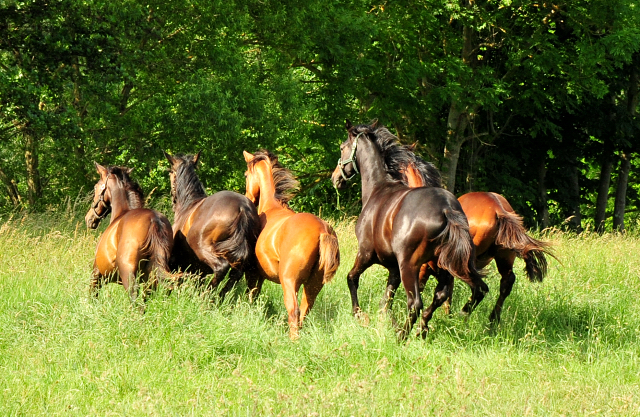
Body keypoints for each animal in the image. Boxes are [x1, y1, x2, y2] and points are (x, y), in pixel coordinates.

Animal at [86, 162, 175, 306]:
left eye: (96, 187)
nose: (89, 219)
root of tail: (153, 219)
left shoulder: (97, 273)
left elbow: (92, 296)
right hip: (152, 278)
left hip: (127, 275)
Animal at [164, 151, 262, 298]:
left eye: (170, 172)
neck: (188, 205)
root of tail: (242, 207)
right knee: (235, 275)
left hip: (204, 249)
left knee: (221, 268)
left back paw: (207, 295)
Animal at [242, 150, 340, 338]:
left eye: (246, 174)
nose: (247, 197)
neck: (272, 208)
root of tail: (323, 230)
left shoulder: (254, 274)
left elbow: (251, 296)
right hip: (313, 284)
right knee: (304, 311)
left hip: (288, 281)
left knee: (294, 311)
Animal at [330, 120, 490, 338]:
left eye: (342, 147)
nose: (335, 178)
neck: (378, 190)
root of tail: (447, 209)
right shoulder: (393, 268)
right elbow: (385, 301)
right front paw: (385, 323)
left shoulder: (365, 254)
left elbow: (351, 279)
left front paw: (360, 316)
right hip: (446, 266)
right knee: (457, 293)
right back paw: (426, 327)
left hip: (411, 266)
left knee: (415, 303)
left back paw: (402, 337)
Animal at [400, 156, 556, 322]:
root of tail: (499, 210)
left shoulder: (425, 267)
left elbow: (424, 288)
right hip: (503, 257)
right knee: (506, 282)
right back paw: (492, 320)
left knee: (479, 288)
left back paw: (465, 313)